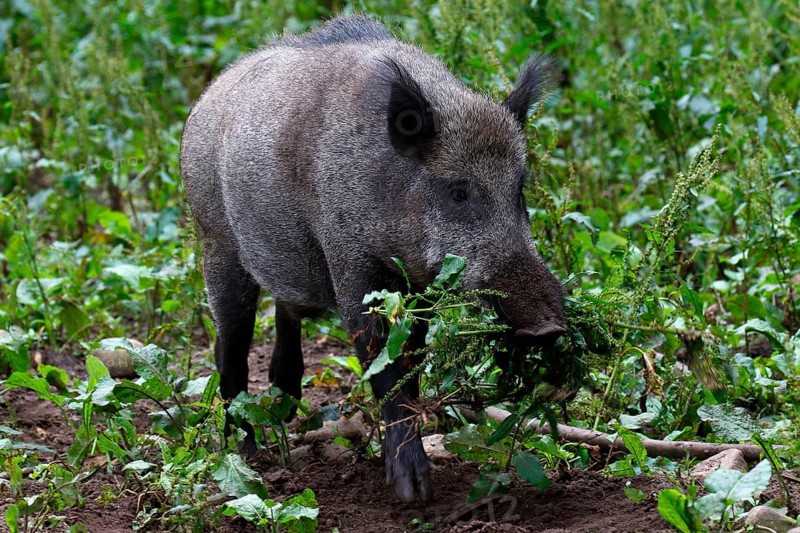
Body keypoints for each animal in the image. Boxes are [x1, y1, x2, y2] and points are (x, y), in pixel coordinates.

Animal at [180, 14, 566, 503]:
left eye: (519, 190)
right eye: (459, 192)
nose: (549, 327)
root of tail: (206, 98)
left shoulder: (418, 289)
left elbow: (412, 365)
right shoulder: (351, 266)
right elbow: (382, 363)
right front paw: (413, 491)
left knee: (286, 320)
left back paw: (285, 411)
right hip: (216, 245)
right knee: (228, 348)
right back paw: (245, 454)